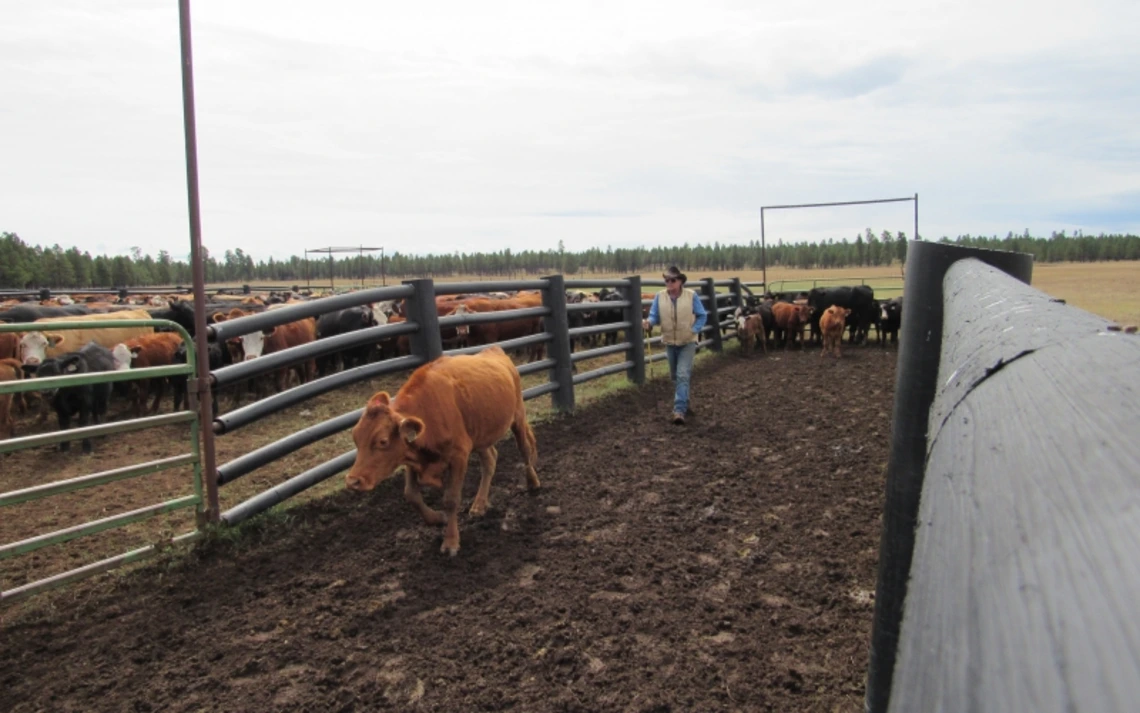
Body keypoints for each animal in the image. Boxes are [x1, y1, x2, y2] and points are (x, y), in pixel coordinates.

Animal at [342, 344, 538, 556]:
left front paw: (450, 541)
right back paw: (479, 504)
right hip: (480, 436)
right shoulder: (412, 456)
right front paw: (437, 518)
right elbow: (411, 494)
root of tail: (494, 350)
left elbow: (451, 499)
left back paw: (532, 483)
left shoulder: (459, 456)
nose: (353, 481)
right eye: (355, 437)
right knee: (490, 461)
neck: (428, 412)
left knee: (524, 450)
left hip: (517, 417)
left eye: (382, 441)